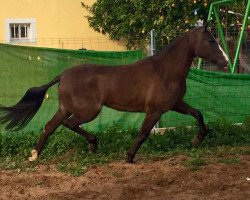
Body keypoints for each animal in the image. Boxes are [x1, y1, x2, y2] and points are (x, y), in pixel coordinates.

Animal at [0, 25, 229, 162]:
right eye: (211, 41)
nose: (225, 62)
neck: (166, 70)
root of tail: (62, 75)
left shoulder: (176, 104)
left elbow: (198, 113)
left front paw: (197, 140)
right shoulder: (154, 111)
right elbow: (144, 132)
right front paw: (129, 156)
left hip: (65, 109)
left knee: (49, 127)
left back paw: (34, 155)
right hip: (89, 111)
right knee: (69, 124)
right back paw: (92, 144)